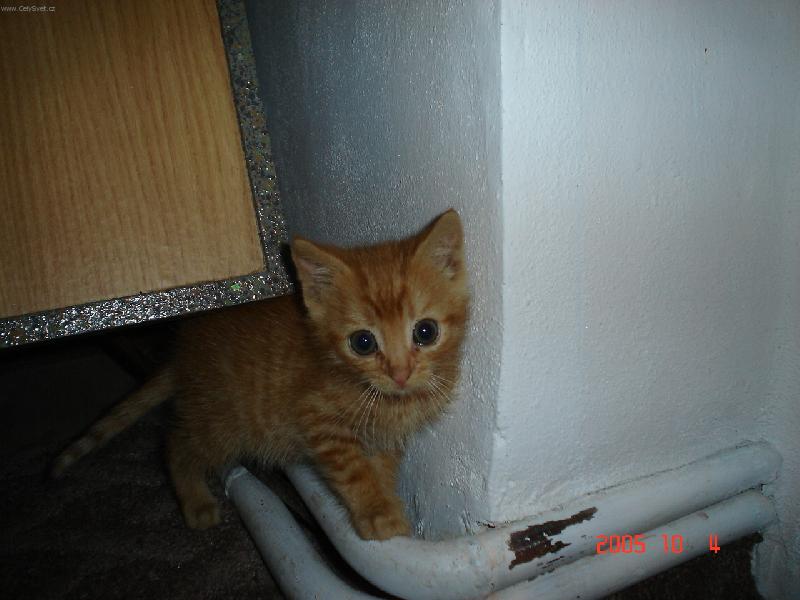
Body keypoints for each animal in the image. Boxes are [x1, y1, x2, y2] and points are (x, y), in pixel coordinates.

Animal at [52, 209, 469, 540]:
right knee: (176, 444)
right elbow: (354, 471)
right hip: (225, 423)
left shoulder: (383, 438)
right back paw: (195, 500)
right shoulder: (317, 418)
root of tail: (183, 355)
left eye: (426, 332)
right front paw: (376, 513)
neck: (387, 399)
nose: (400, 373)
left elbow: (379, 468)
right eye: (363, 342)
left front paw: (386, 505)